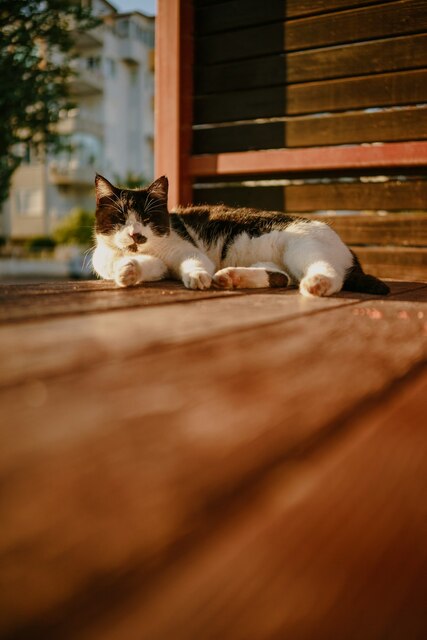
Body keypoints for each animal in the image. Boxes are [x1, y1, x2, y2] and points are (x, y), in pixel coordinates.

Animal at [93, 172, 392, 298]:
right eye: (120, 219)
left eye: (146, 219)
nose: (136, 235)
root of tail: (348, 250)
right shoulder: (157, 265)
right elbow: (145, 266)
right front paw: (127, 271)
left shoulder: (186, 250)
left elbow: (195, 262)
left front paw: (197, 277)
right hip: (274, 261)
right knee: (281, 277)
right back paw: (230, 277)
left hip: (302, 247)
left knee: (328, 272)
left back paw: (317, 284)